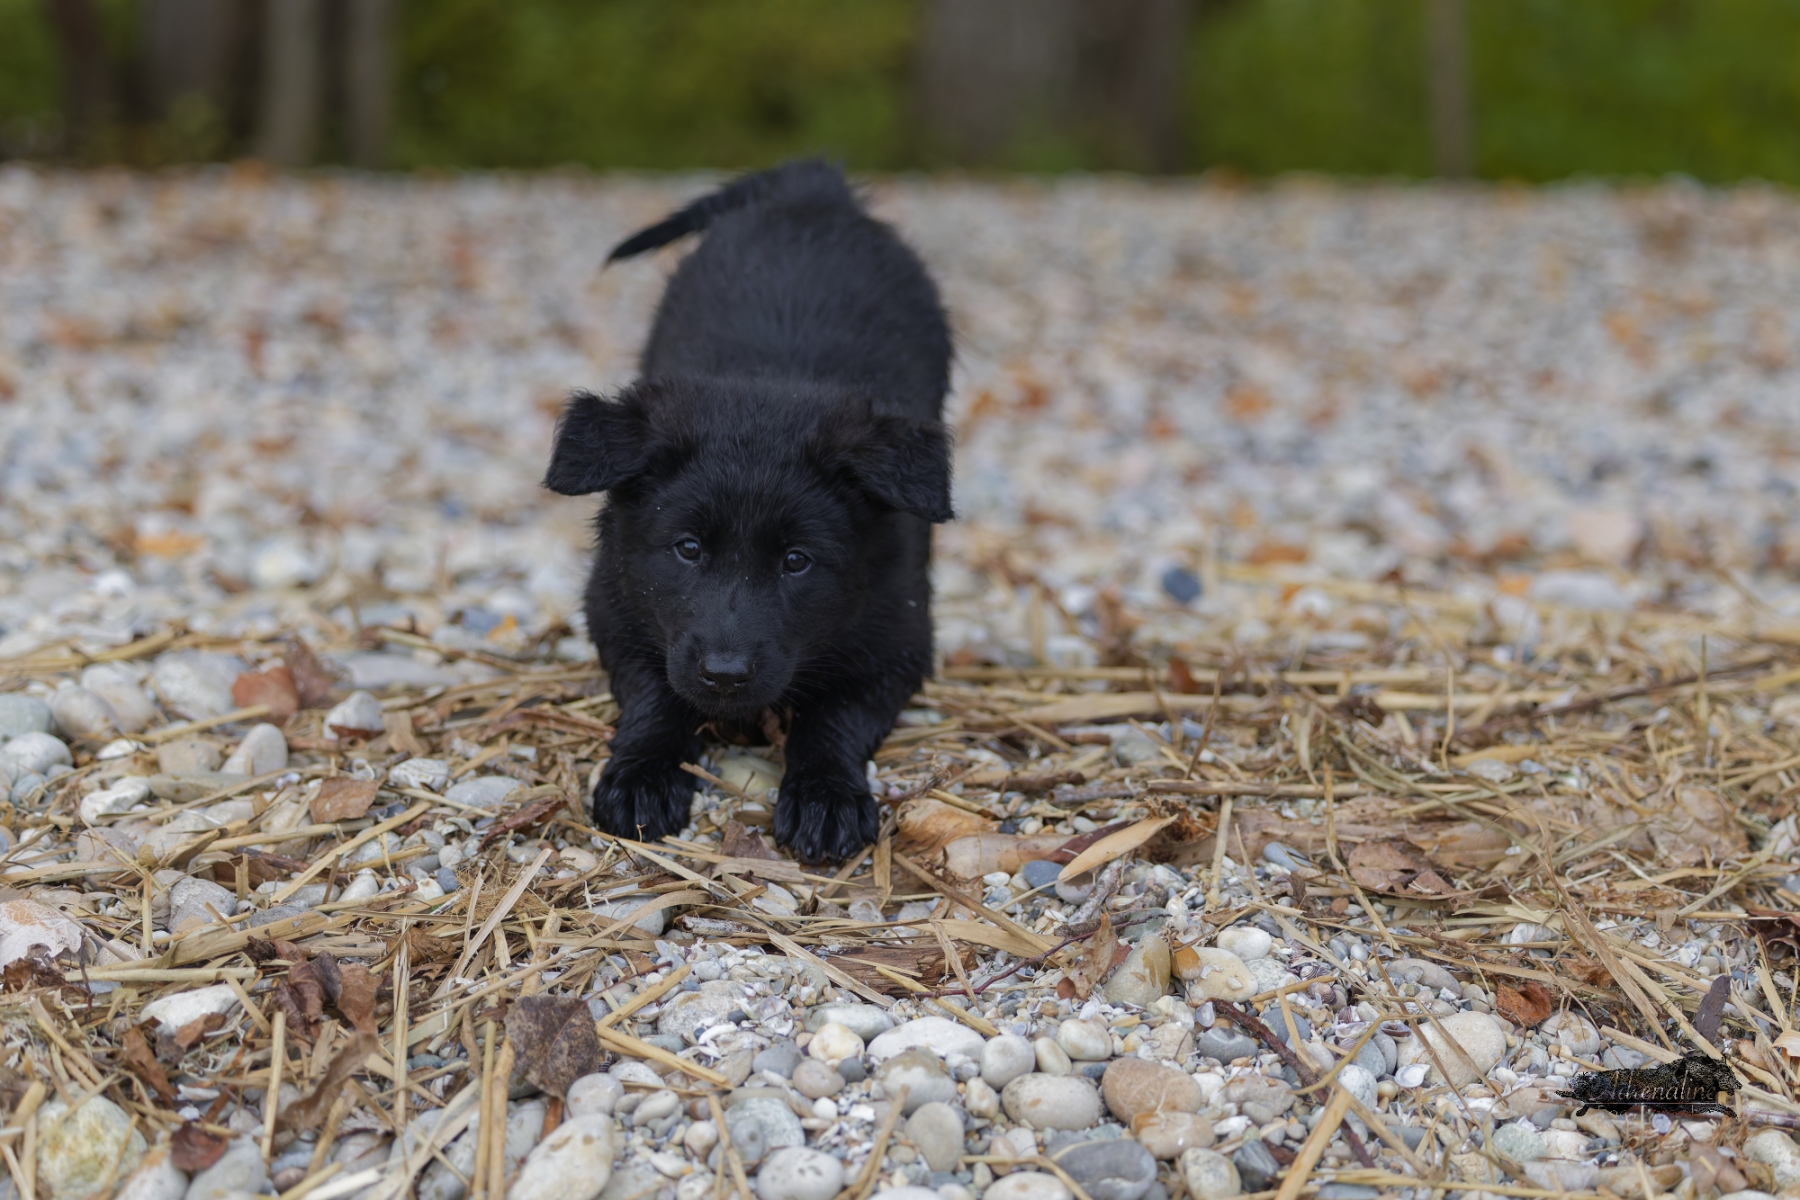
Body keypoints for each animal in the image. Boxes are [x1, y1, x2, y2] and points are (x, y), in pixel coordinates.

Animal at [545, 161, 953, 864]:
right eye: (687, 548)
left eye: (797, 561)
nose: (726, 676)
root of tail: (814, 189)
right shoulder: (616, 604)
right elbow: (655, 694)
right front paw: (641, 777)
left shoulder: (897, 639)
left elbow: (833, 717)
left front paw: (825, 798)